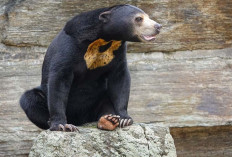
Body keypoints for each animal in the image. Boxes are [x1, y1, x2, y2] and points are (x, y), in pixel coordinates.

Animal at [19, 4, 161, 131]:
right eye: (139, 18)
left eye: (148, 17)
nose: (158, 26)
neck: (105, 39)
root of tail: (81, 120)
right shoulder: (68, 47)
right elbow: (59, 80)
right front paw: (61, 125)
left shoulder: (118, 52)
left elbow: (120, 79)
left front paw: (124, 119)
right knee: (30, 99)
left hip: (98, 99)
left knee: (105, 102)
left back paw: (108, 120)